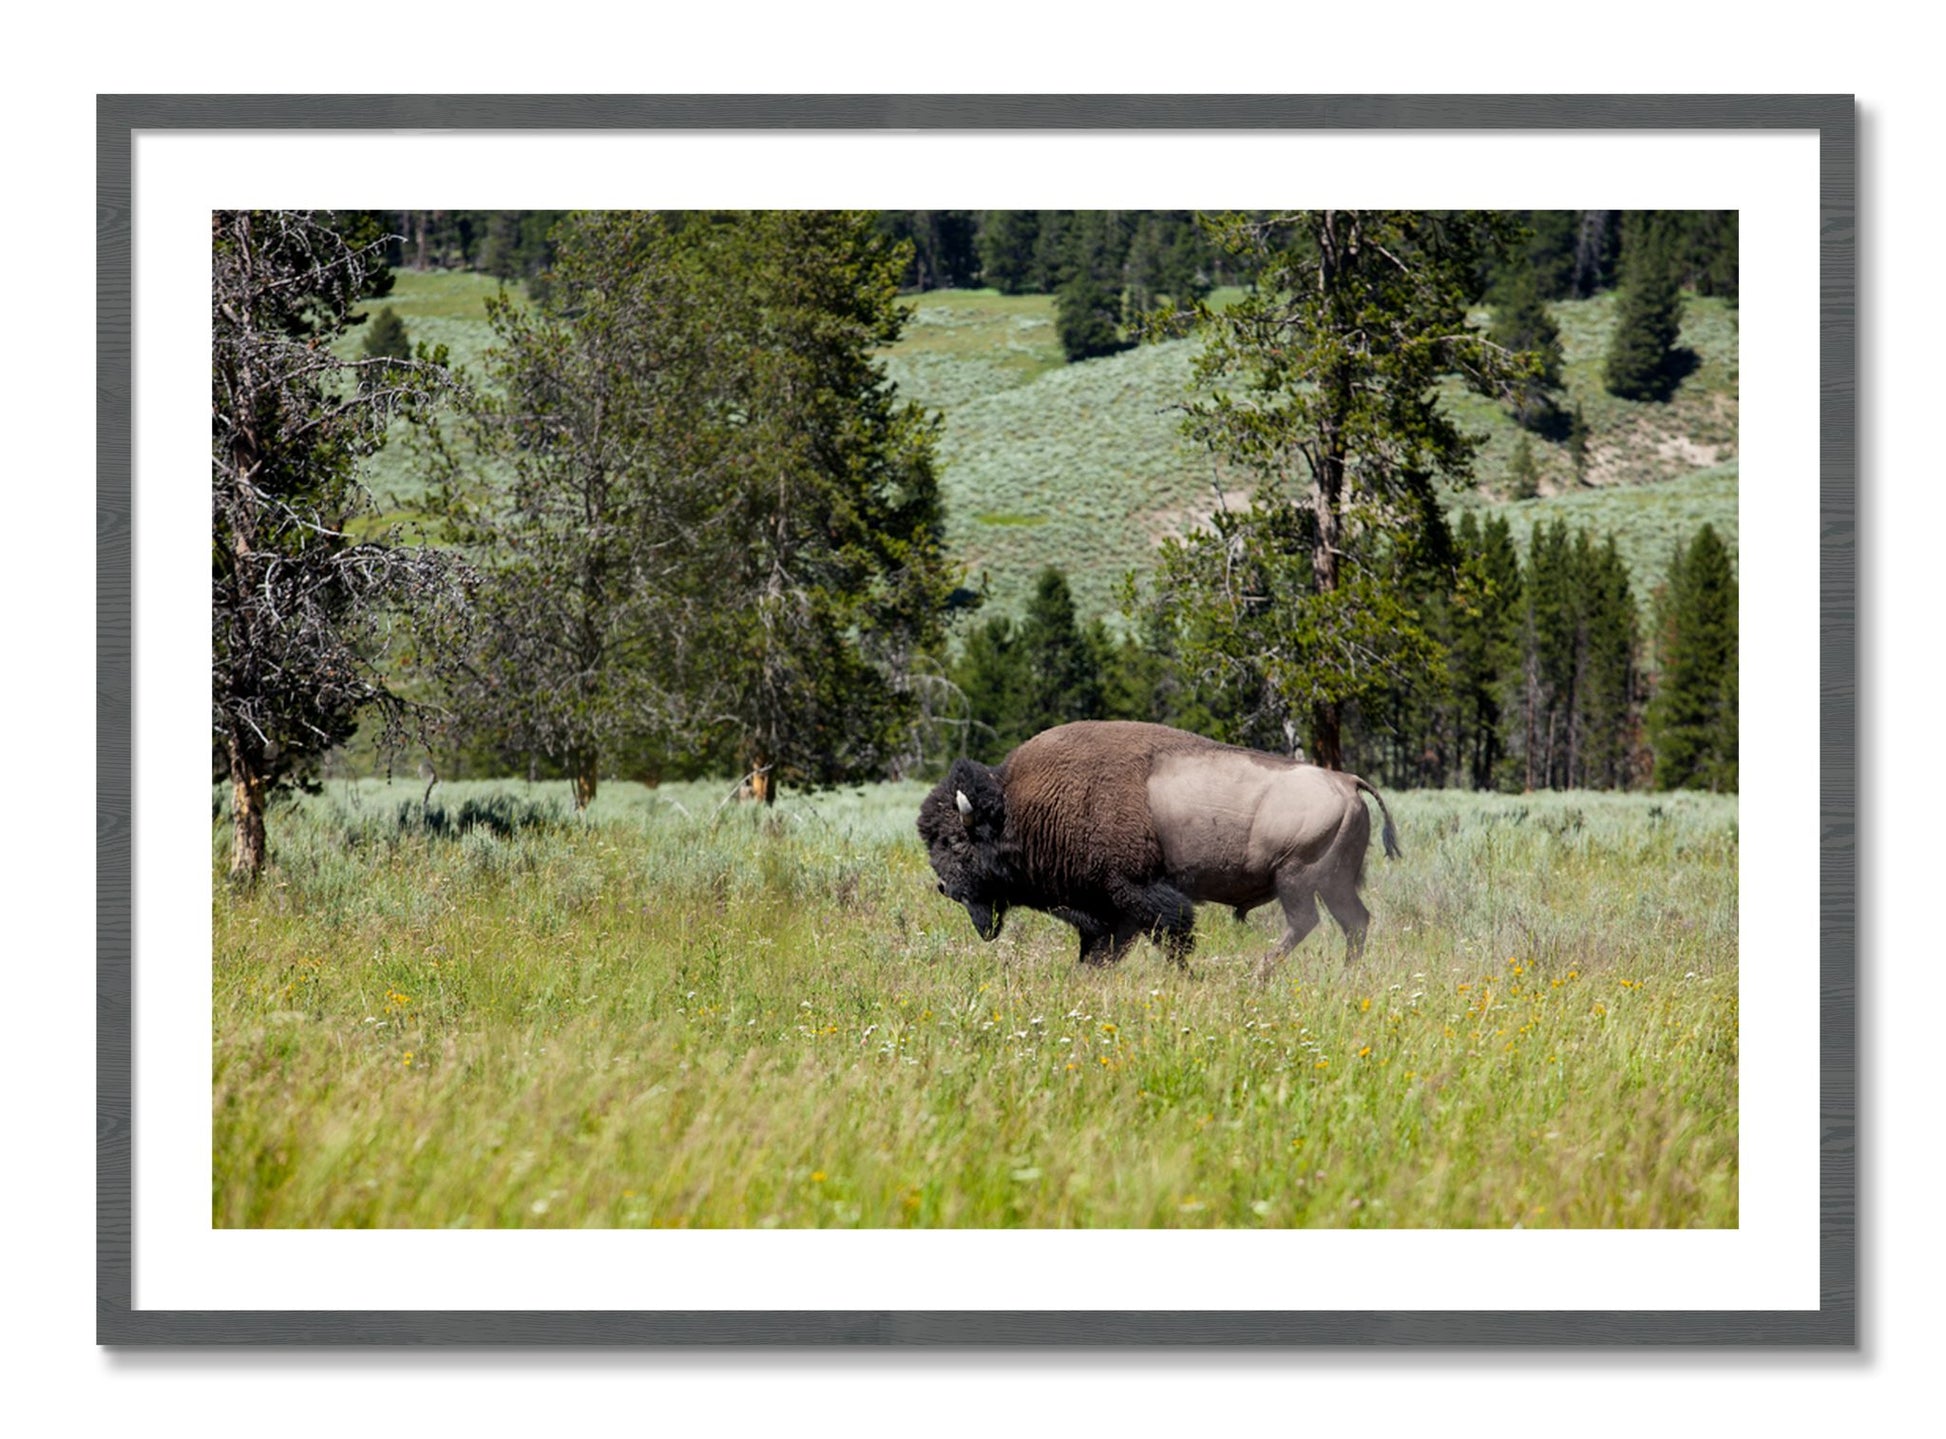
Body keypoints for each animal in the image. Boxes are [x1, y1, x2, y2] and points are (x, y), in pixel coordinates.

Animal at [917, 720, 1400, 975]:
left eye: (955, 841)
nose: (945, 887)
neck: (1019, 807)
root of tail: (1346, 781)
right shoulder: (1108, 911)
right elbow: (1102, 949)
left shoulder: (1137, 893)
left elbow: (1172, 935)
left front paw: (1184, 976)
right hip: (1334, 883)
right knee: (1354, 922)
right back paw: (1345, 975)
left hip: (1296, 878)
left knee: (1306, 922)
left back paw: (1258, 973)